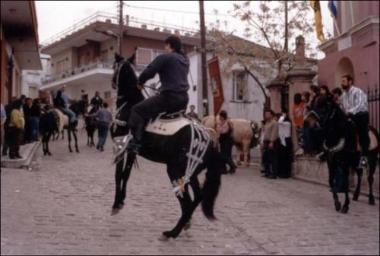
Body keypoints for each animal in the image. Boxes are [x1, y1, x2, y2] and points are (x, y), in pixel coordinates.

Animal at [108, 53, 224, 239]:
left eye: (114, 66)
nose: (112, 82)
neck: (129, 105)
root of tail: (210, 140)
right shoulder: (131, 152)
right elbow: (126, 175)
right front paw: (120, 202)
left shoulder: (121, 147)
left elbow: (118, 175)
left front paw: (115, 205)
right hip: (190, 173)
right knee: (197, 197)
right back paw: (184, 225)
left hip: (175, 170)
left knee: (187, 200)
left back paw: (172, 232)